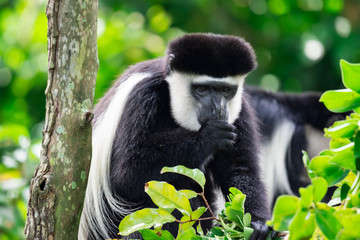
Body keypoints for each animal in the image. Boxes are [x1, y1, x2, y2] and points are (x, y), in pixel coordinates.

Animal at [79, 33, 270, 240]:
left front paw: (257, 224)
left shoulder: (239, 110)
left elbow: (239, 168)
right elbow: (125, 173)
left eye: (226, 90)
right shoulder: (142, 97)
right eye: (202, 89)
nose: (218, 109)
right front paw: (209, 136)